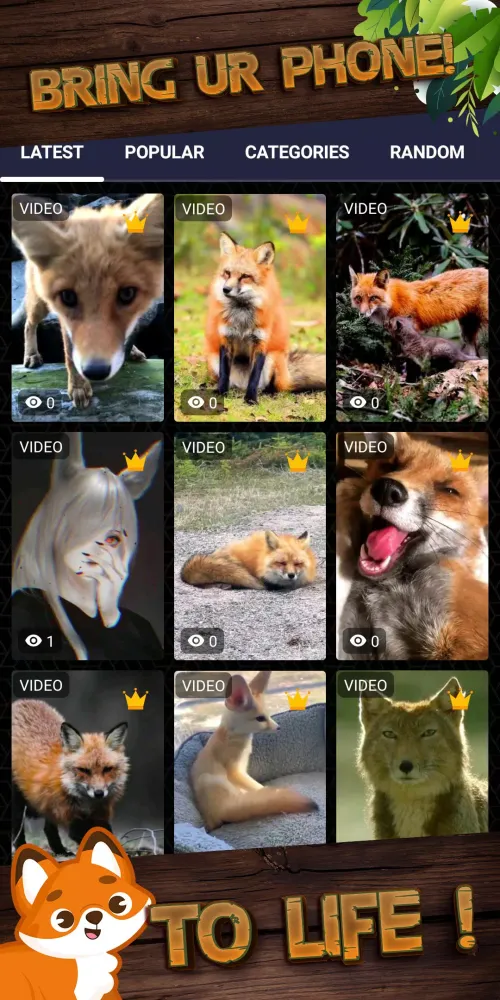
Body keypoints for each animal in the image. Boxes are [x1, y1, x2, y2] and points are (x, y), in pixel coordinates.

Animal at [12, 192, 164, 408]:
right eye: (68, 297)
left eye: (127, 294)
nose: (96, 371)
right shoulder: (66, 321)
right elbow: (70, 355)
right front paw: (78, 386)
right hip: (39, 305)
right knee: (28, 324)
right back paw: (31, 355)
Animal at [12, 699, 129, 857]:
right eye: (84, 770)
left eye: (107, 769)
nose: (99, 793)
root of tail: (20, 702)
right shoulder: (69, 816)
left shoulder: (100, 814)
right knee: (18, 831)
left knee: (48, 830)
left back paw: (60, 851)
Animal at [191, 670, 318, 830]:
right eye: (260, 718)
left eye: (268, 715)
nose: (278, 727)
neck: (233, 737)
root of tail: (223, 810)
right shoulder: (235, 771)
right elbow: (258, 787)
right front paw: (269, 791)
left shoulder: (241, 768)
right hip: (211, 780)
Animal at [205, 231, 326, 404]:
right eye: (227, 273)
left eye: (245, 276)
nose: (225, 289)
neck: (242, 315)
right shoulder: (225, 339)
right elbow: (224, 374)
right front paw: (221, 393)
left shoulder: (261, 342)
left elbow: (254, 377)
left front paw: (251, 400)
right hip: (213, 359)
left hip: (273, 359)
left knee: (274, 387)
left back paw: (268, 394)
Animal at [349, 266, 488, 357]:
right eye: (358, 298)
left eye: (373, 298)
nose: (362, 314)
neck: (393, 301)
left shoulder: (411, 329)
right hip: (467, 328)